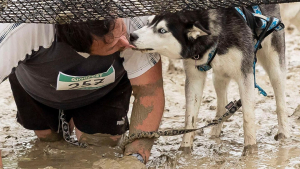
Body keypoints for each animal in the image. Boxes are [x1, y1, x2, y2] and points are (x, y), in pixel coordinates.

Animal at [130, 4, 290, 154]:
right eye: (148, 22)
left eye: (162, 30)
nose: (132, 35)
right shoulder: (194, 76)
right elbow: (190, 118)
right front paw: (184, 151)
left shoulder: (246, 74)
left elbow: (248, 117)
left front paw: (251, 151)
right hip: (219, 76)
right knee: (223, 103)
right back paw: (215, 132)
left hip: (274, 64)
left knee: (280, 101)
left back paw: (284, 135)